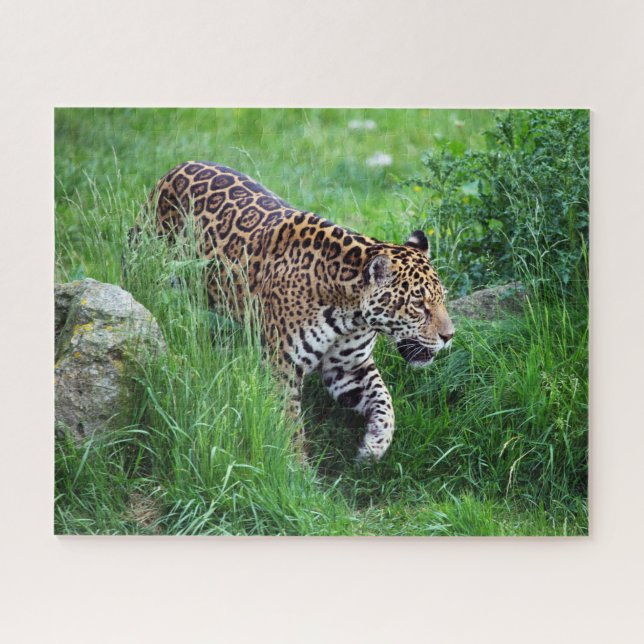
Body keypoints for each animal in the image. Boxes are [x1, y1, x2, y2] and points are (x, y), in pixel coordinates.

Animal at [135, 161, 455, 462]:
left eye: (442, 299)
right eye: (418, 304)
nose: (450, 336)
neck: (350, 313)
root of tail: (176, 168)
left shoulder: (348, 369)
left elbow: (384, 400)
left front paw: (374, 445)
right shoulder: (283, 368)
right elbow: (290, 425)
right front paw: (298, 469)